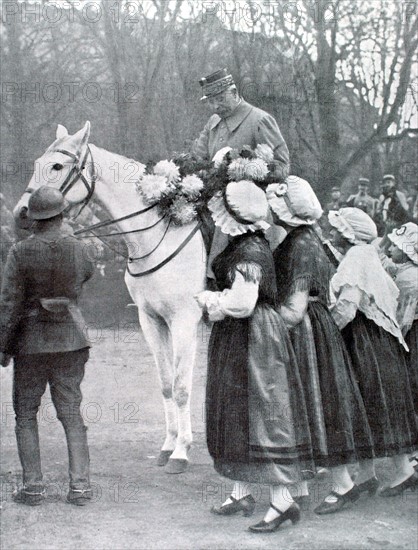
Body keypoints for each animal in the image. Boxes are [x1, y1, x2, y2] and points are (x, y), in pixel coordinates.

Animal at [13, 123, 207, 476]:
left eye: (57, 166)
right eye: (37, 163)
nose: (21, 213)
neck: (159, 235)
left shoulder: (184, 320)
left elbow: (182, 388)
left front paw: (181, 453)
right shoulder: (151, 320)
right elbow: (166, 384)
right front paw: (169, 446)